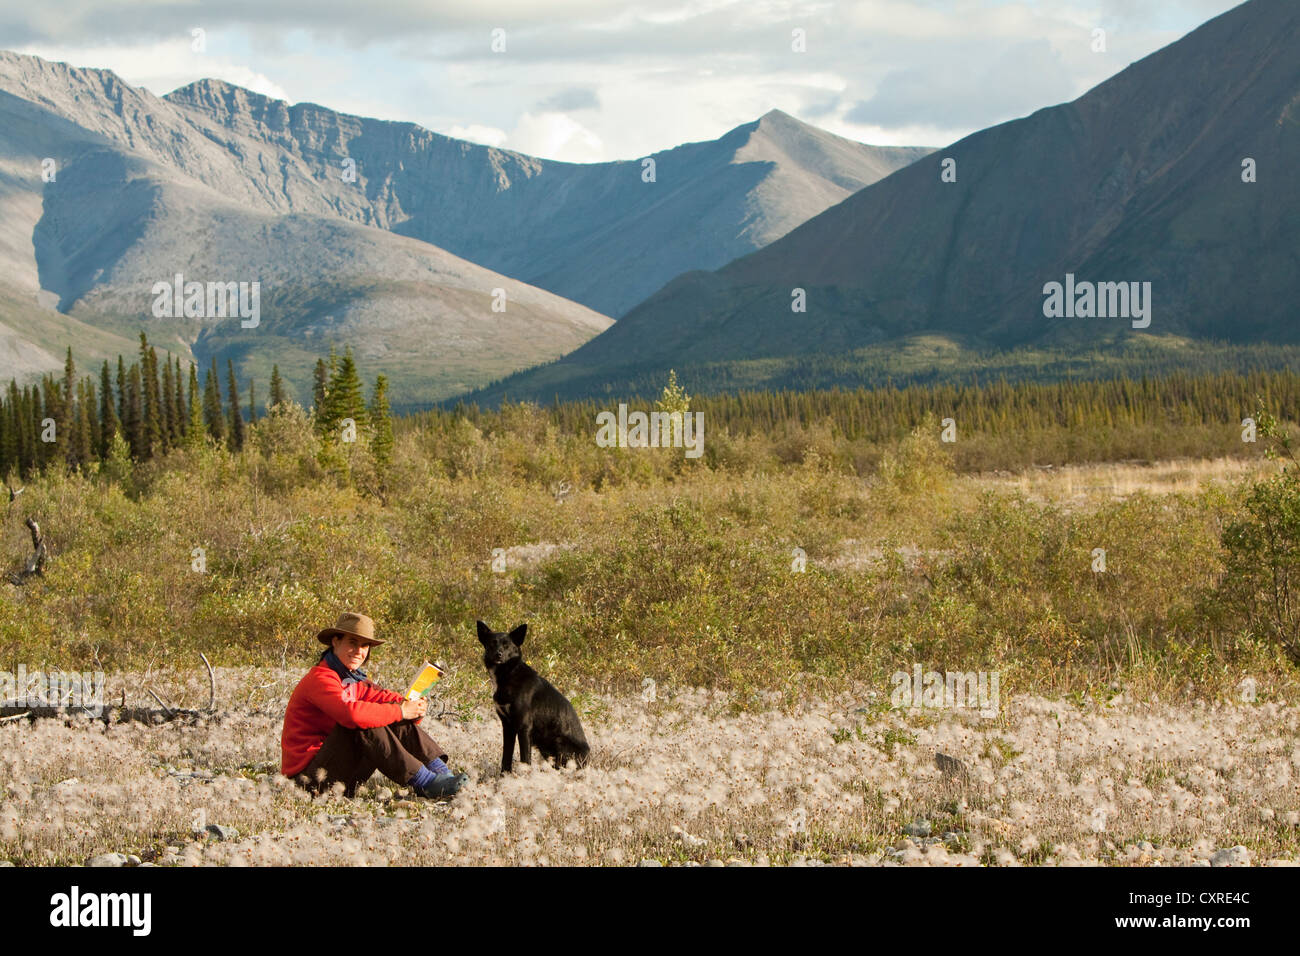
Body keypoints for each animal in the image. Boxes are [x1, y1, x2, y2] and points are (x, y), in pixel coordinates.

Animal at [478, 624, 590, 775]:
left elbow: (525, 759)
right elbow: (506, 758)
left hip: (558, 741)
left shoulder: (524, 726)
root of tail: (588, 761)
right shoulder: (507, 726)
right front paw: (504, 777)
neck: (509, 674)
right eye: (492, 643)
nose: (498, 654)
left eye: (507, 645)